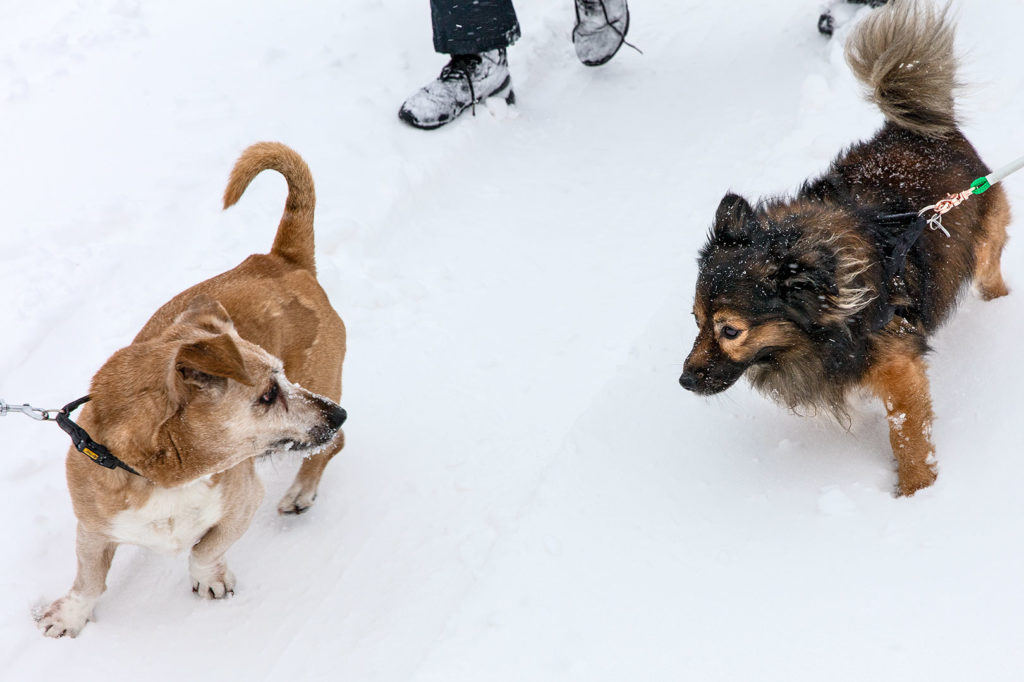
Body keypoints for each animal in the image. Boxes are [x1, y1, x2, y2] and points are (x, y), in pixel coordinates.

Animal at [37, 140, 348, 634]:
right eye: (267, 394)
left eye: (279, 378)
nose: (339, 414)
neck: (161, 475)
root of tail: (279, 259)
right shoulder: (93, 528)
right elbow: (88, 578)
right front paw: (71, 615)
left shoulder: (244, 502)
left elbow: (205, 548)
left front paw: (210, 579)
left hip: (322, 384)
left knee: (330, 449)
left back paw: (301, 492)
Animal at [675, 1, 1011, 493]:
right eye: (697, 322)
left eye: (729, 330)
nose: (684, 380)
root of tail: (920, 129)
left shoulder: (898, 367)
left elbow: (908, 431)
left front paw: (917, 490)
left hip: (983, 240)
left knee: (991, 267)